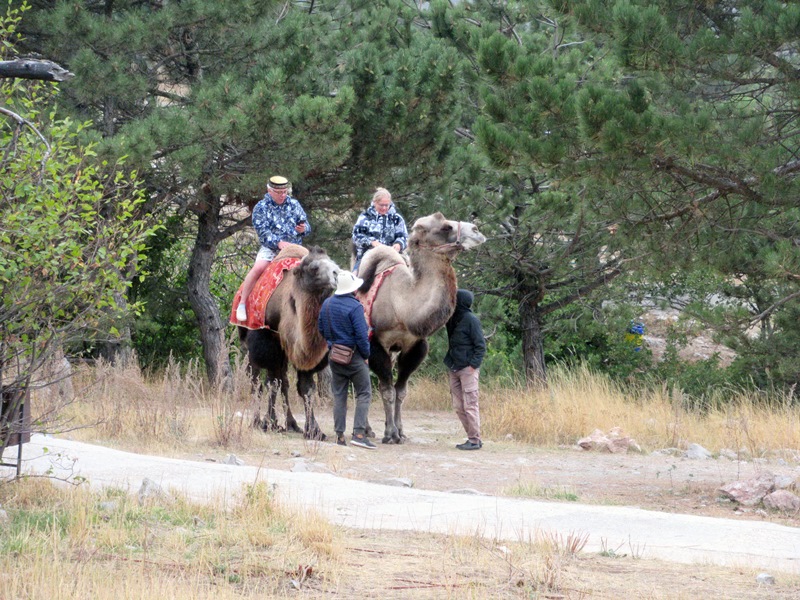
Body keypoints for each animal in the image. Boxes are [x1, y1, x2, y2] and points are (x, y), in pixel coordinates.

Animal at [236, 244, 340, 440]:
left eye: (333, 262)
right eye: (314, 268)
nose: (337, 274)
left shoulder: (303, 353)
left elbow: (305, 387)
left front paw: (314, 430)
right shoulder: (268, 342)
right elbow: (271, 383)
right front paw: (268, 423)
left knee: (283, 381)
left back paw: (291, 424)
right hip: (252, 344)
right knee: (256, 380)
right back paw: (257, 421)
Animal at [358, 211, 488, 440]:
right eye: (445, 227)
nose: (477, 230)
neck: (402, 304)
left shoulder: (416, 344)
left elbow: (401, 391)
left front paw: (400, 432)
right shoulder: (375, 342)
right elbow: (388, 390)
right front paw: (391, 434)